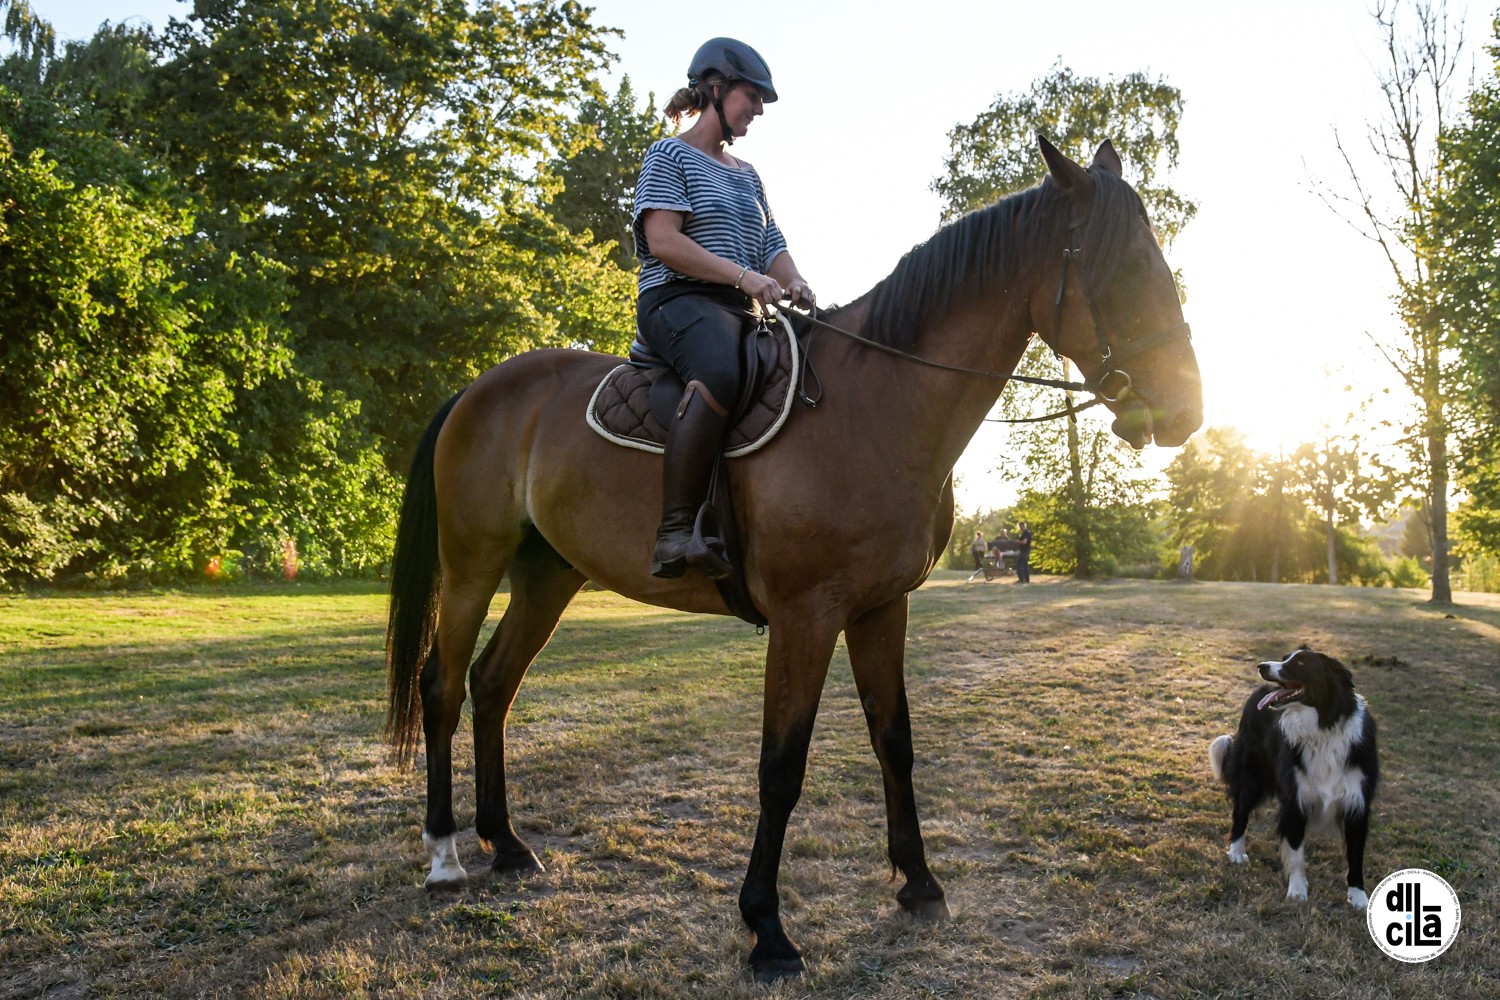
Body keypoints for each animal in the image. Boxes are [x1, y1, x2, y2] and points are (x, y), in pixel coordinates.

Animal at [390, 137, 1206, 983]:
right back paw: (445, 855)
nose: (1186, 411)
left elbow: (895, 741)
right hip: (472, 565)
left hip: (549, 574)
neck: (876, 404)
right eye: (1125, 269)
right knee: (442, 686)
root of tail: (478, 390)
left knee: (493, 684)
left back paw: (507, 844)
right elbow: (781, 768)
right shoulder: (804, 617)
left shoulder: (882, 606)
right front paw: (767, 929)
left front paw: (919, 884)